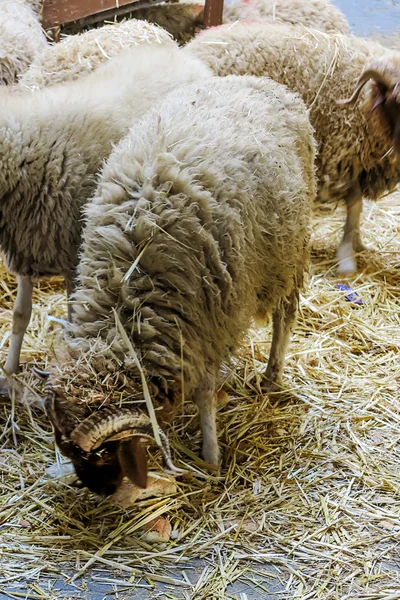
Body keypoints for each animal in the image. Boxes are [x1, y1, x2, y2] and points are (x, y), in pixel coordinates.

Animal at [0, 43, 211, 398]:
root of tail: (182, 55)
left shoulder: (73, 253)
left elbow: (73, 316)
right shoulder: (27, 246)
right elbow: (20, 315)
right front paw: (10, 371)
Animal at [39, 72, 316, 500]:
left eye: (103, 453)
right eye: (64, 448)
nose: (100, 491)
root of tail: (260, 80)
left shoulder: (210, 323)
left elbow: (204, 393)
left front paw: (211, 455)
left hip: (289, 253)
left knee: (285, 315)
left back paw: (271, 374)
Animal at [185, 22, 400, 272]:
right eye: (397, 99)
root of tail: (195, 43)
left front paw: (357, 244)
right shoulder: (344, 157)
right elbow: (354, 205)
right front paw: (347, 256)